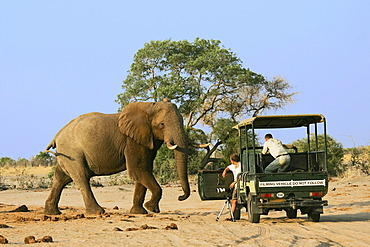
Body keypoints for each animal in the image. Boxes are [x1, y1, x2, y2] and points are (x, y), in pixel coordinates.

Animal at [43, 101, 191, 215]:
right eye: (162, 125)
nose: (180, 197)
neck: (149, 106)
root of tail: (57, 136)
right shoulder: (132, 141)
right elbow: (139, 170)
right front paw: (151, 209)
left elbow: (143, 171)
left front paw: (139, 212)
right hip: (72, 152)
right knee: (82, 177)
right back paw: (97, 212)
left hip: (67, 154)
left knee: (61, 179)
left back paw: (52, 213)